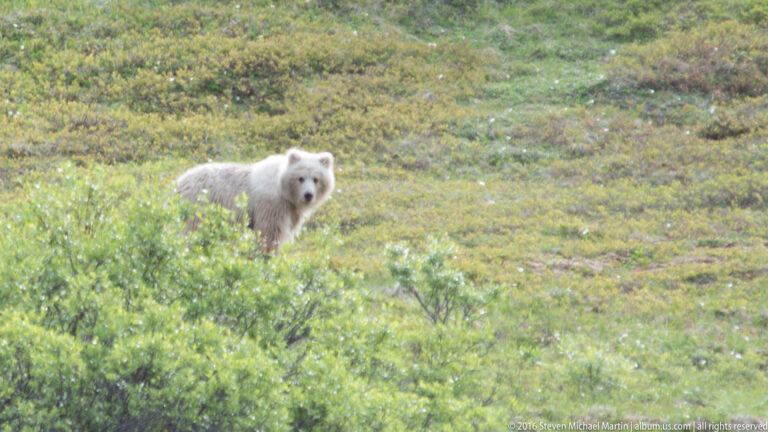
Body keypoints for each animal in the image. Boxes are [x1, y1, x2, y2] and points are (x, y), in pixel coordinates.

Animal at [176, 148, 335, 252]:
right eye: (300, 178)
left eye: (316, 179)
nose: (308, 195)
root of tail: (179, 182)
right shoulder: (271, 205)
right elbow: (269, 234)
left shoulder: (291, 211)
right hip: (200, 206)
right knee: (192, 231)